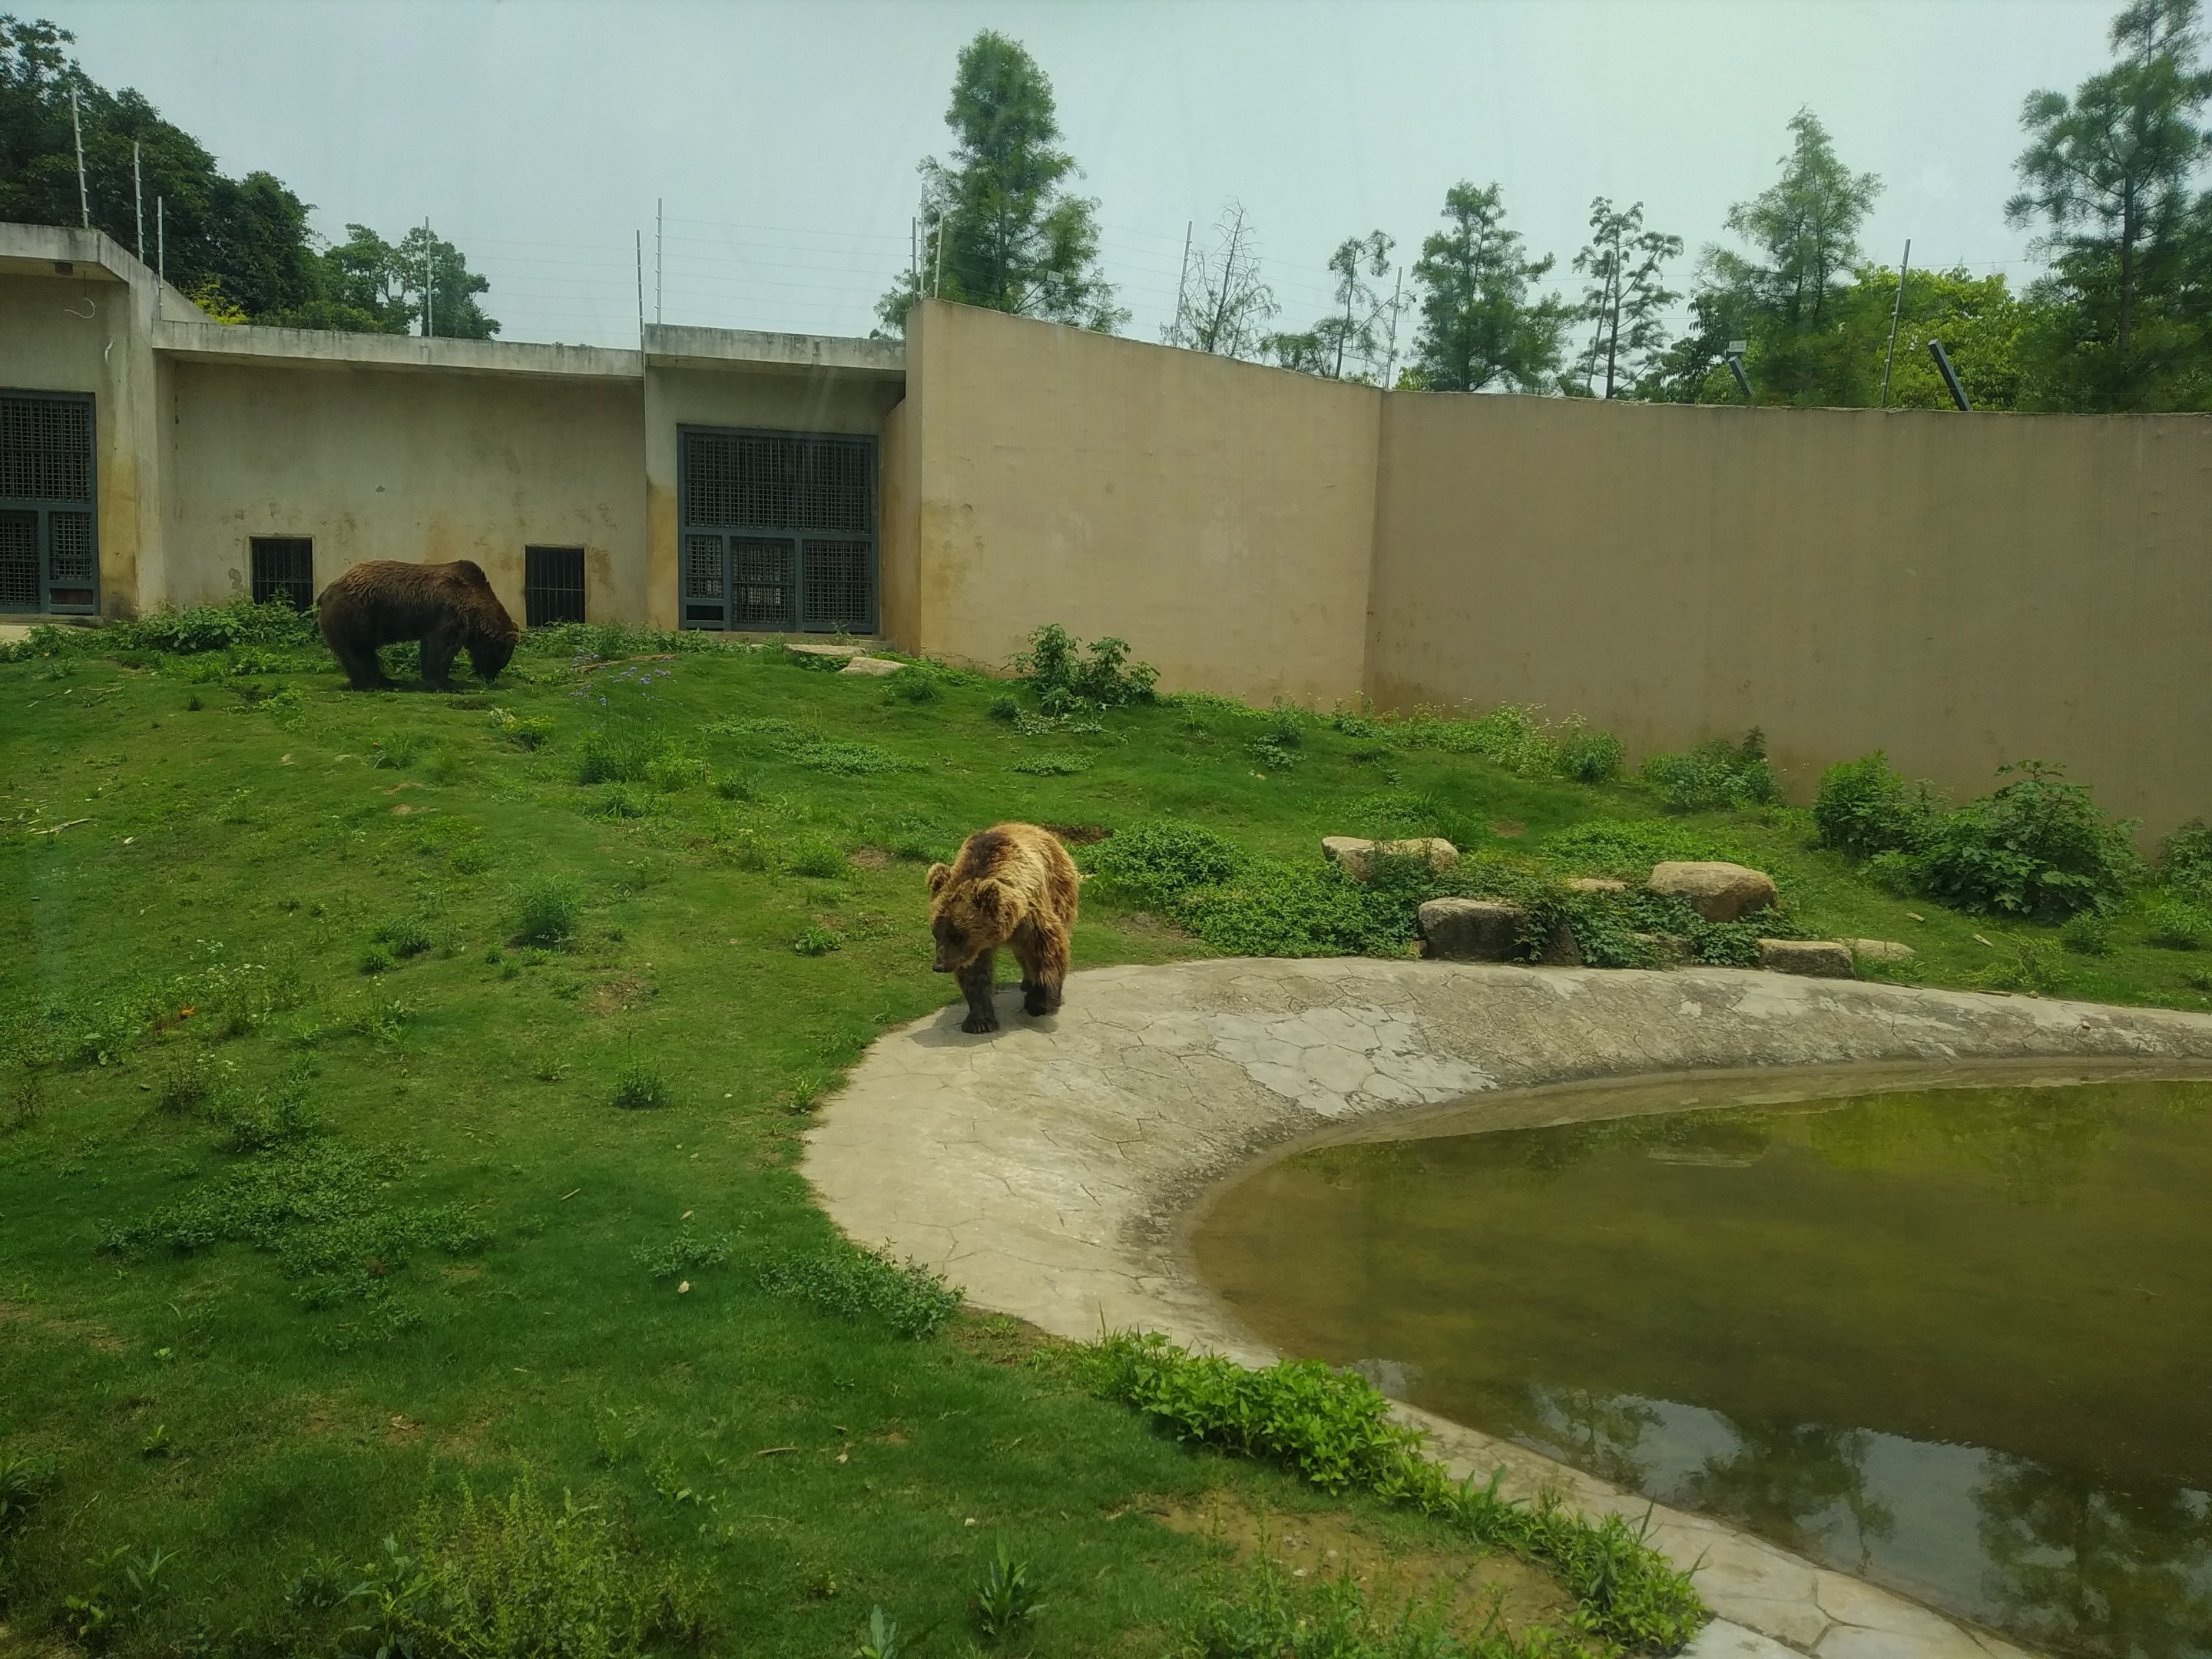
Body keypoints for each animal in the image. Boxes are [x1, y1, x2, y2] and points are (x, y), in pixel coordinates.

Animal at [316, 558, 518, 692]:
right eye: (499, 661)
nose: (489, 678)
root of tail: (327, 591)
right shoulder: (449, 614)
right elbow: (440, 649)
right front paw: (446, 685)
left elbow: (429, 648)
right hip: (356, 613)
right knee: (357, 650)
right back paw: (370, 684)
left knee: (366, 652)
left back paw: (387, 680)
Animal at [927, 823, 1081, 1034]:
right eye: (936, 933)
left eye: (957, 936)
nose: (940, 966)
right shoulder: (975, 946)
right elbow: (975, 972)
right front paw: (979, 1021)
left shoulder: (1032, 916)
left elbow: (1046, 951)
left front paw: (1038, 1003)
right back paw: (1027, 982)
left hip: (1060, 889)